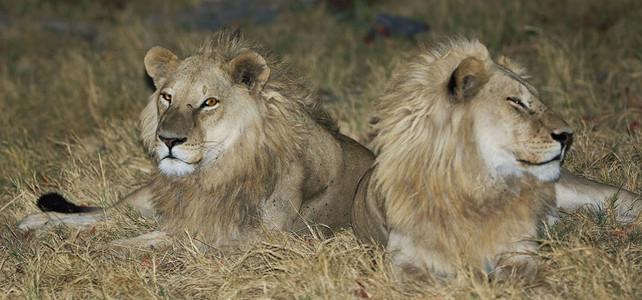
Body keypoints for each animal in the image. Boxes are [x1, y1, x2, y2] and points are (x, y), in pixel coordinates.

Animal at [17, 28, 372, 250]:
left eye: (210, 102)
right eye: (167, 96)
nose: (167, 140)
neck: (209, 175)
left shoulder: (257, 236)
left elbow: (171, 236)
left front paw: (109, 249)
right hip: (146, 198)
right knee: (107, 211)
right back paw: (40, 222)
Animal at [350, 38, 640, 282]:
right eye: (516, 102)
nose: (567, 136)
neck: (476, 185)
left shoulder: (518, 247)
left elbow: (518, 277)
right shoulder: (403, 256)